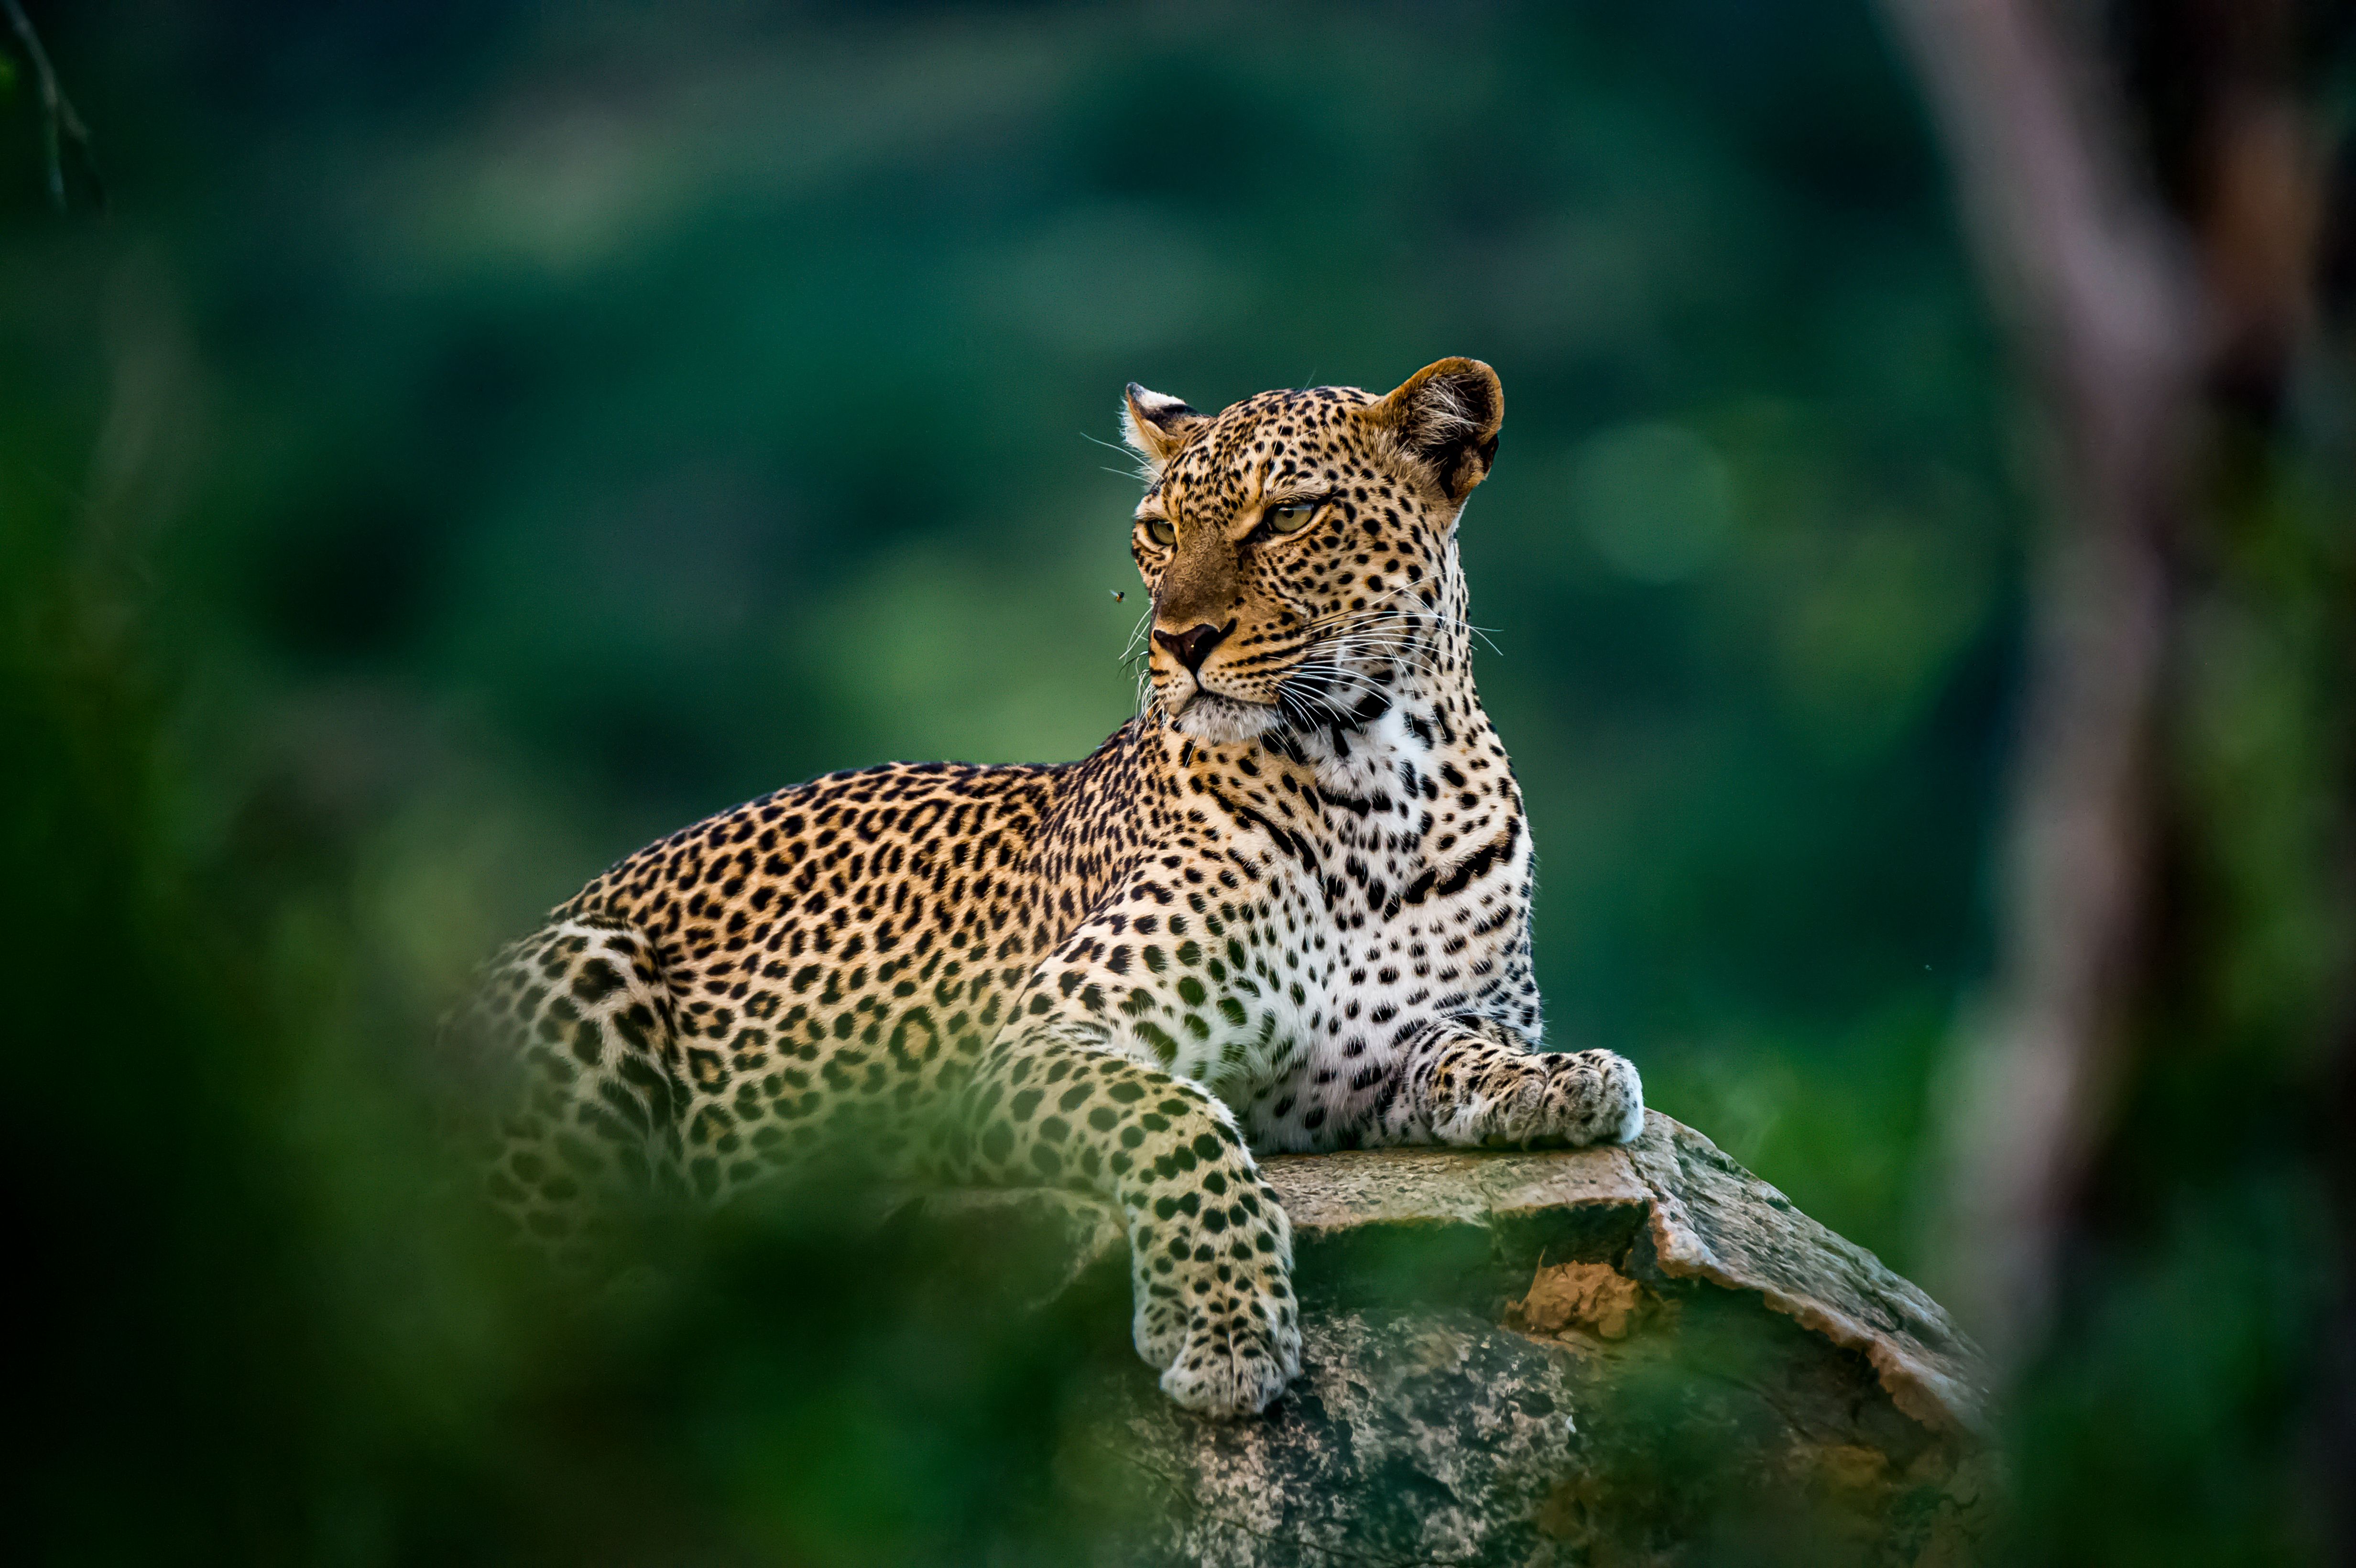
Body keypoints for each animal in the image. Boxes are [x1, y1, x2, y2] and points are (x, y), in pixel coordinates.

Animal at [447, 357, 1646, 1418]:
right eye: (1157, 531)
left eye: (1289, 516)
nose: (1180, 641)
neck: (1374, 785)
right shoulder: (1040, 1040)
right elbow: (1179, 1119)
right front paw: (1225, 1327)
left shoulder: (1382, 1058)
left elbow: (1468, 1052)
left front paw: (1567, 1080)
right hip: (590, 966)